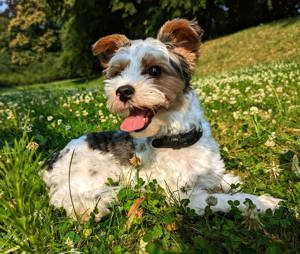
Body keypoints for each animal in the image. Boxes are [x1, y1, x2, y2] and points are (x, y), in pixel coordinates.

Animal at [42, 18, 282, 222]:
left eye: (155, 70)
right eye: (117, 73)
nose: (122, 90)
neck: (177, 138)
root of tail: (50, 163)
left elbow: (221, 181)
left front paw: (232, 181)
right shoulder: (186, 199)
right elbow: (227, 199)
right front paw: (265, 202)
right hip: (92, 173)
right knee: (63, 197)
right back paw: (94, 206)